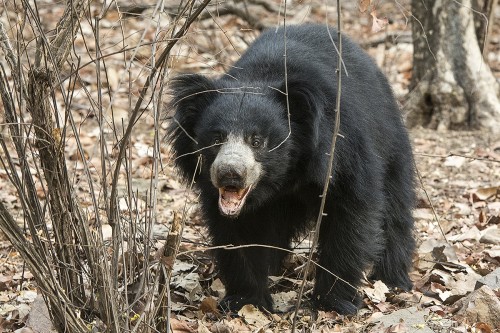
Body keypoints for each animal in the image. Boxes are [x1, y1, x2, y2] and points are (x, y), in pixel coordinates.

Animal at [167, 24, 414, 312]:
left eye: (257, 141)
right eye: (216, 138)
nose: (230, 173)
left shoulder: (342, 150)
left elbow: (351, 216)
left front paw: (333, 302)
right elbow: (237, 232)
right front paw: (245, 300)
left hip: (391, 141)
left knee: (395, 210)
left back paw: (393, 278)